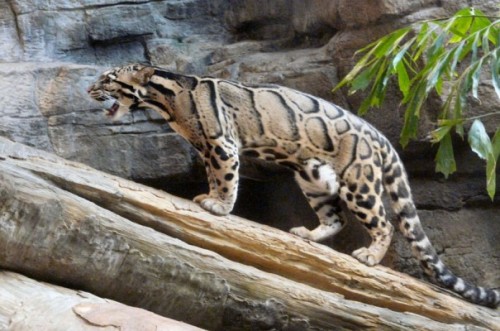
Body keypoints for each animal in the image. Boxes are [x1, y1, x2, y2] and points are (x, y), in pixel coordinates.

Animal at [88, 64, 498, 308]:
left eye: (108, 78)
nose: (89, 89)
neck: (166, 100)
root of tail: (380, 137)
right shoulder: (208, 148)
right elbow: (214, 175)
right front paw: (211, 196)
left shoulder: (221, 143)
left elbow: (226, 177)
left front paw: (219, 205)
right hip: (313, 176)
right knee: (336, 218)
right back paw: (310, 235)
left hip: (358, 181)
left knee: (384, 222)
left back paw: (369, 255)